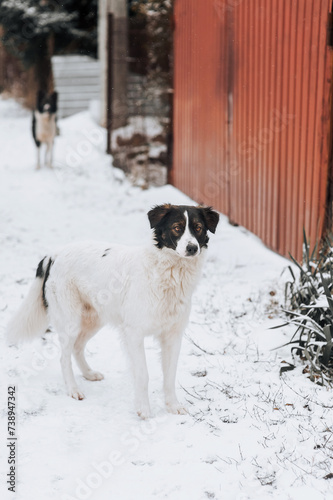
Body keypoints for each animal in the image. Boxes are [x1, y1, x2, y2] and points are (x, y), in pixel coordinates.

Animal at [6, 203, 219, 418]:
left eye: (198, 227)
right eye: (177, 227)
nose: (192, 248)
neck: (168, 272)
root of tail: (54, 254)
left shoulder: (173, 335)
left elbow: (170, 375)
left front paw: (173, 406)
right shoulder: (134, 333)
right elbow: (143, 374)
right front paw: (144, 409)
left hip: (94, 319)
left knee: (77, 347)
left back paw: (89, 374)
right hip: (70, 322)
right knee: (64, 357)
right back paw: (73, 389)